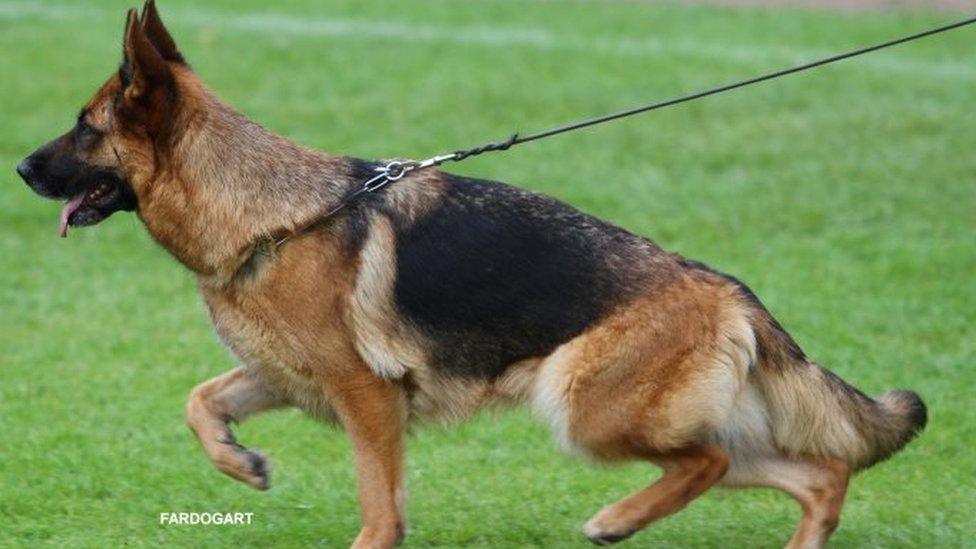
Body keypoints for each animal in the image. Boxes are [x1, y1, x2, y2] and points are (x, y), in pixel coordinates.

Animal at [19, 2, 928, 544]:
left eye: (85, 127)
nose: (21, 168)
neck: (273, 212)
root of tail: (725, 287)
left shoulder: (366, 395)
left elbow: (379, 504)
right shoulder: (286, 376)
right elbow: (200, 400)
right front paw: (240, 462)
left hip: (583, 406)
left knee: (705, 463)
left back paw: (615, 519)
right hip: (669, 419)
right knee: (817, 472)